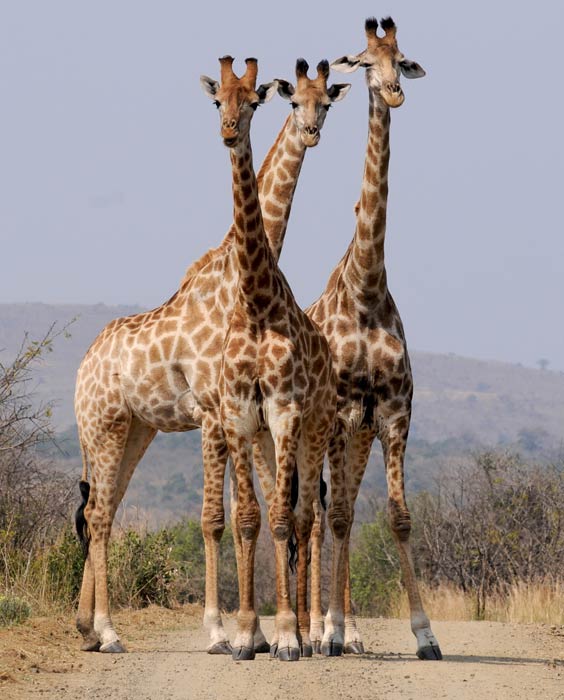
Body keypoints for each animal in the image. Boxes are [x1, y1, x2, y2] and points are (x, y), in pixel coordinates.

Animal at [73, 58, 350, 654]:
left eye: (326, 103)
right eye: (294, 102)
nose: (311, 133)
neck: (238, 280)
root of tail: (82, 367)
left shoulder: (243, 415)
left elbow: (255, 512)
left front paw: (261, 634)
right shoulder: (212, 411)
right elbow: (214, 519)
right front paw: (223, 632)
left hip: (135, 429)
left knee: (103, 507)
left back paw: (87, 626)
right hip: (103, 426)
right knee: (99, 513)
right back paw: (107, 631)